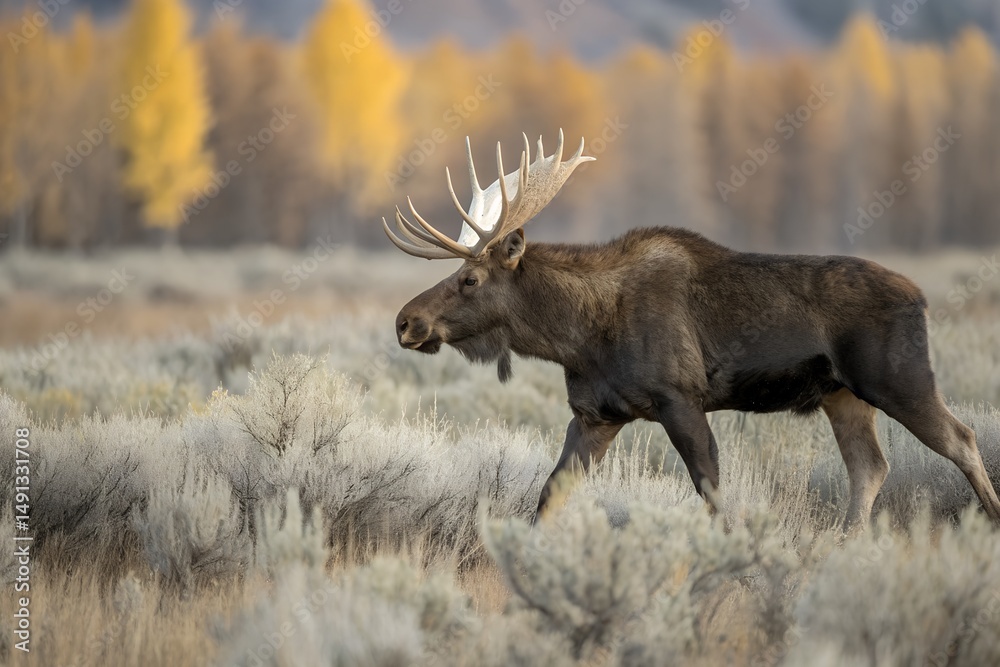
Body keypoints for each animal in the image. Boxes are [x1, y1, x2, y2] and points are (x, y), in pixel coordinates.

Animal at [383, 130, 1000, 531]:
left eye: (470, 278)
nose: (405, 321)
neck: (578, 338)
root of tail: (921, 297)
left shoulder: (680, 398)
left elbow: (712, 492)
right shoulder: (596, 414)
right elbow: (549, 497)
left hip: (898, 378)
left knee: (962, 438)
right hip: (842, 395)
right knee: (870, 467)